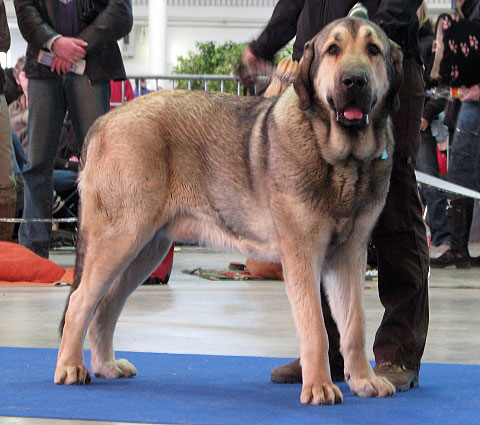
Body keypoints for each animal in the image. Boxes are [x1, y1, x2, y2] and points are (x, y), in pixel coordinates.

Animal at [55, 17, 402, 404]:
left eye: (373, 50)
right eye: (332, 50)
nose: (354, 80)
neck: (342, 161)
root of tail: (104, 121)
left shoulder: (349, 256)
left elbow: (354, 325)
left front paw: (363, 381)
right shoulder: (303, 253)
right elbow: (316, 327)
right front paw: (319, 386)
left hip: (146, 249)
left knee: (106, 305)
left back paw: (105, 365)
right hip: (120, 238)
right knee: (81, 301)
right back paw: (70, 367)